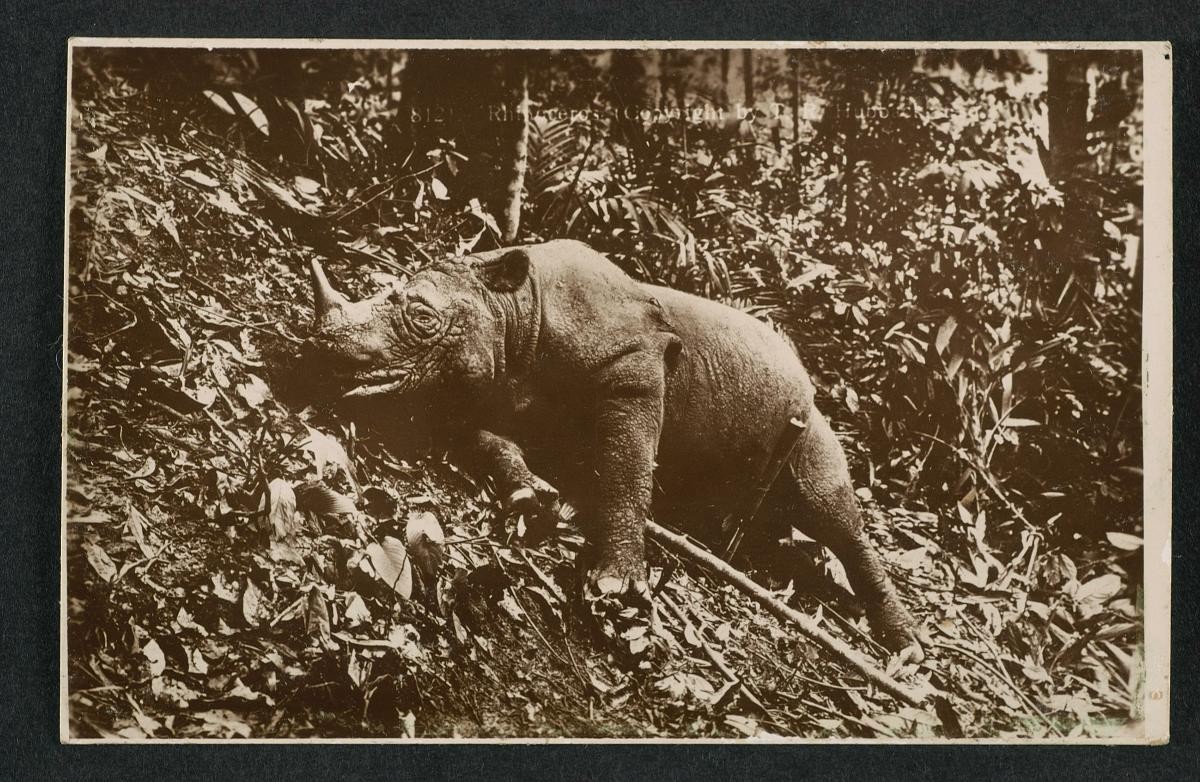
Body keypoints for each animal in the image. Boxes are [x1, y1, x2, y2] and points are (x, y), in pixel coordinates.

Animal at [307, 239, 921, 656]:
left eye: (423, 319)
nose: (323, 357)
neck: (513, 310)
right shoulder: (486, 389)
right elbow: (488, 440)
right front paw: (531, 500)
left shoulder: (634, 364)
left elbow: (627, 462)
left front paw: (616, 587)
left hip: (809, 421)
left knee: (824, 507)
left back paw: (905, 647)